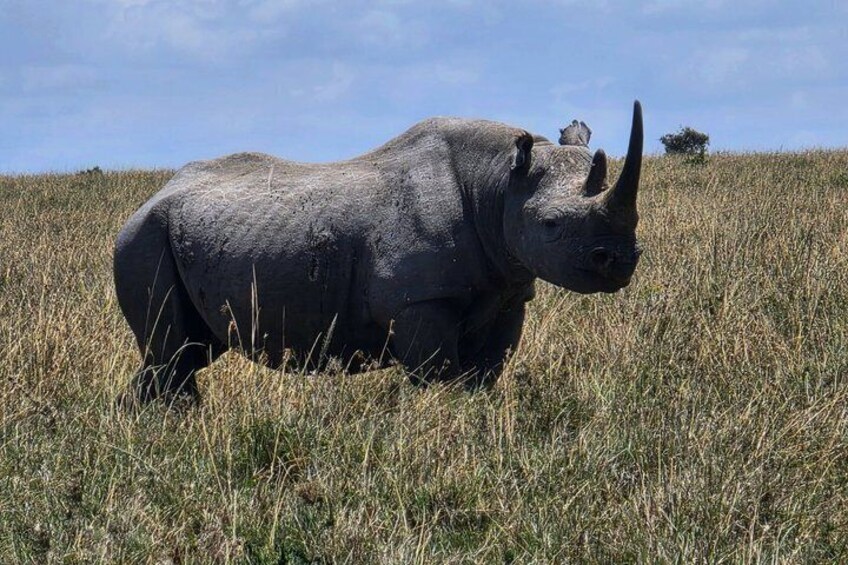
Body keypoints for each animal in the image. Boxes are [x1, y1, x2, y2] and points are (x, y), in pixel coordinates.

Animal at [114, 101, 644, 404]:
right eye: (551, 225)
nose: (619, 262)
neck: (496, 184)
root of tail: (152, 196)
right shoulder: (417, 300)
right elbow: (440, 377)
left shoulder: (509, 290)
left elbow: (485, 376)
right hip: (142, 238)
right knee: (172, 352)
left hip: (178, 234)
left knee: (187, 352)